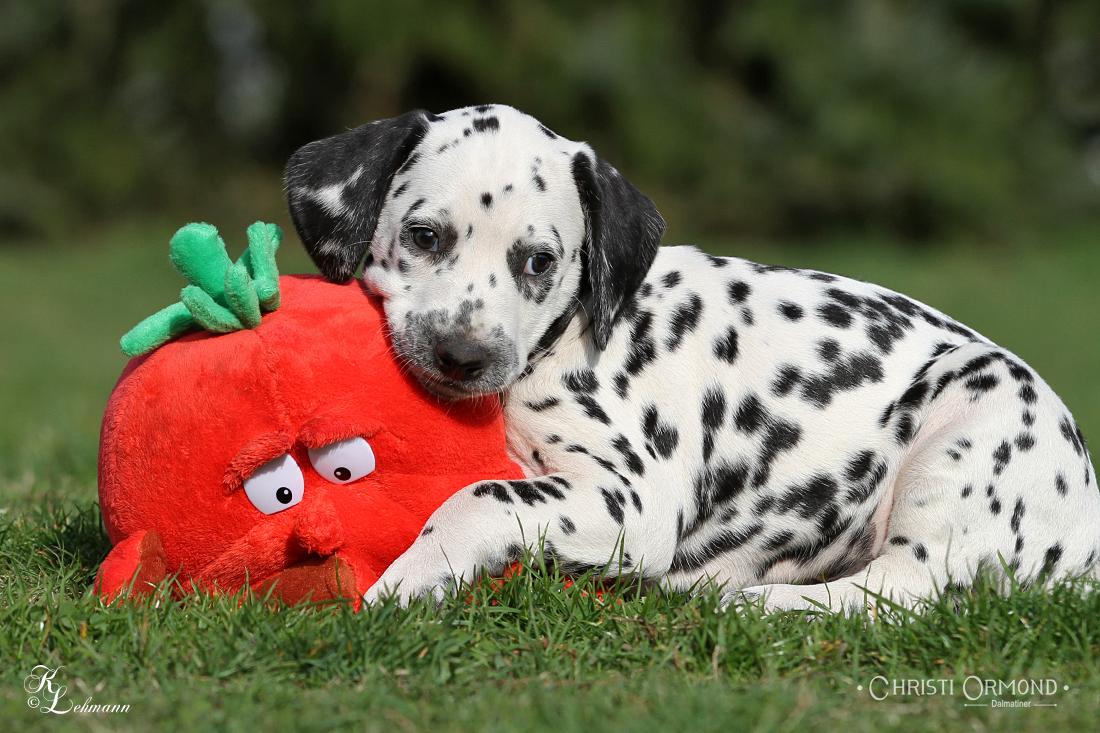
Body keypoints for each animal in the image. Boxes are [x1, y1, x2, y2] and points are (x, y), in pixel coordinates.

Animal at [284, 104, 1099, 613]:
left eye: (540, 261)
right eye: (424, 237)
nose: (464, 355)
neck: (565, 340)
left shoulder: (632, 497)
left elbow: (480, 496)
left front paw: (407, 581)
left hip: (971, 426)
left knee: (898, 591)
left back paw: (758, 603)